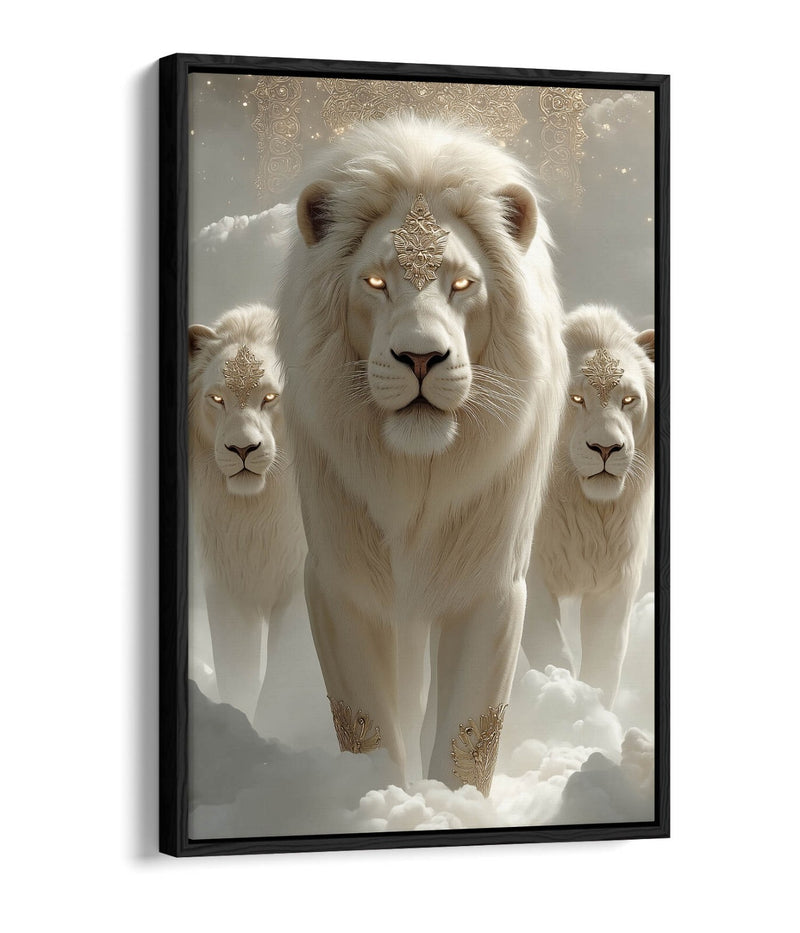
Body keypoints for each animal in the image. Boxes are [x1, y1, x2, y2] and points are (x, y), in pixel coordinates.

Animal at [188, 304, 307, 726]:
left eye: (270, 397)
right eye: (217, 398)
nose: (242, 449)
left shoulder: (301, 584)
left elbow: (284, 673)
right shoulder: (229, 586)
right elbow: (236, 671)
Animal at [277, 117, 568, 794]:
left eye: (462, 283)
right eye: (376, 282)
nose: (419, 357)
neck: (415, 476)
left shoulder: (490, 584)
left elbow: (469, 730)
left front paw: (450, 804)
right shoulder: (339, 582)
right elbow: (366, 721)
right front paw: (377, 797)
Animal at [521, 304, 656, 706]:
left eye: (629, 399)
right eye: (576, 399)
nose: (606, 448)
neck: (588, 511)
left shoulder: (616, 580)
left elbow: (605, 660)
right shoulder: (528, 573)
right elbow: (549, 645)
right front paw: (559, 691)